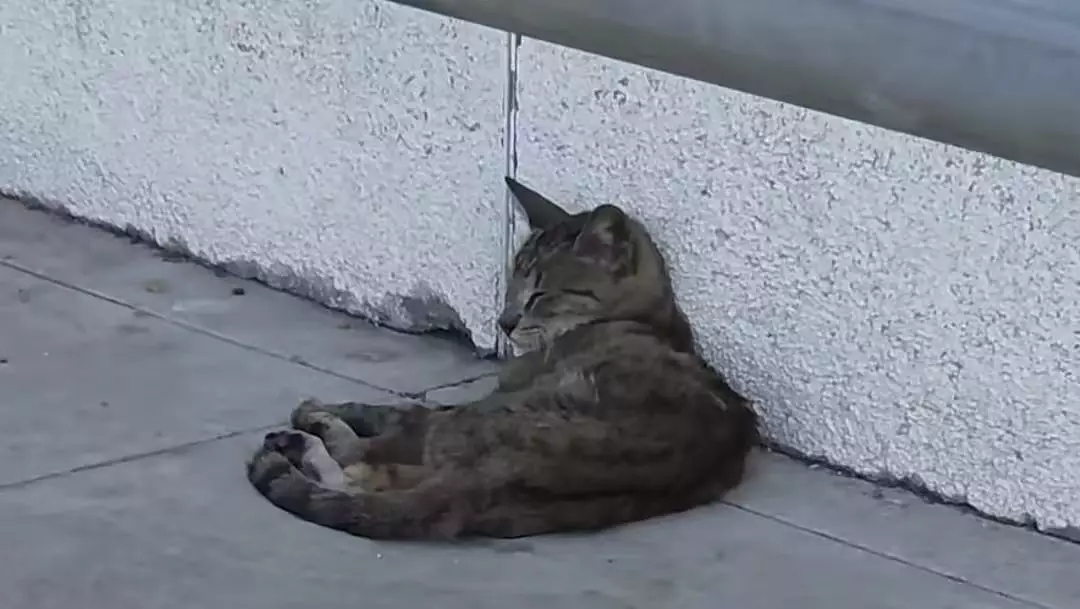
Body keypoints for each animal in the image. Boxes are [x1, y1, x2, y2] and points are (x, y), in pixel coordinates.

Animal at [245, 176, 759, 540]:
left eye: (541, 295)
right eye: (513, 282)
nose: (504, 322)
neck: (647, 317)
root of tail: (482, 490)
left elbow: (393, 411)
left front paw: (326, 410)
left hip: (475, 421)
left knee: (366, 461)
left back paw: (306, 436)